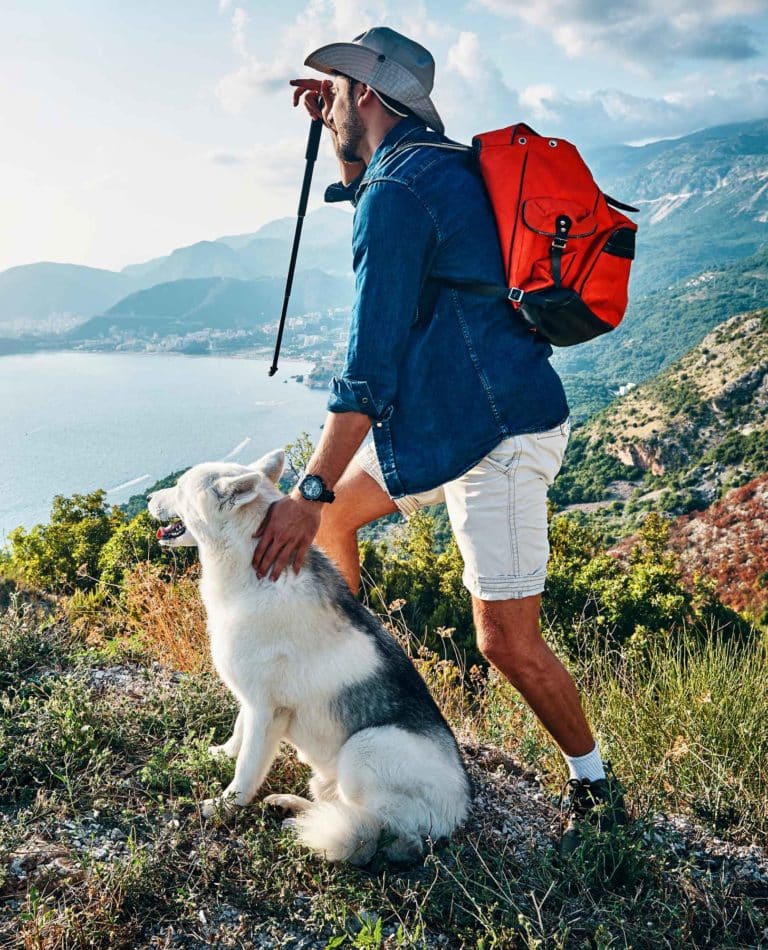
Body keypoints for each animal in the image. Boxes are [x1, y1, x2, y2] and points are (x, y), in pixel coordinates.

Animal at [145, 450, 468, 868]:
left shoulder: (267, 711)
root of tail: (457, 814)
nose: (149, 498)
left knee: (379, 831)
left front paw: (225, 806)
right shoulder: (251, 701)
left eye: (181, 487)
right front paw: (220, 754)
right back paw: (292, 808)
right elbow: (238, 735)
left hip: (365, 747)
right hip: (332, 774)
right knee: (337, 806)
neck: (245, 565)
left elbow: (247, 768)